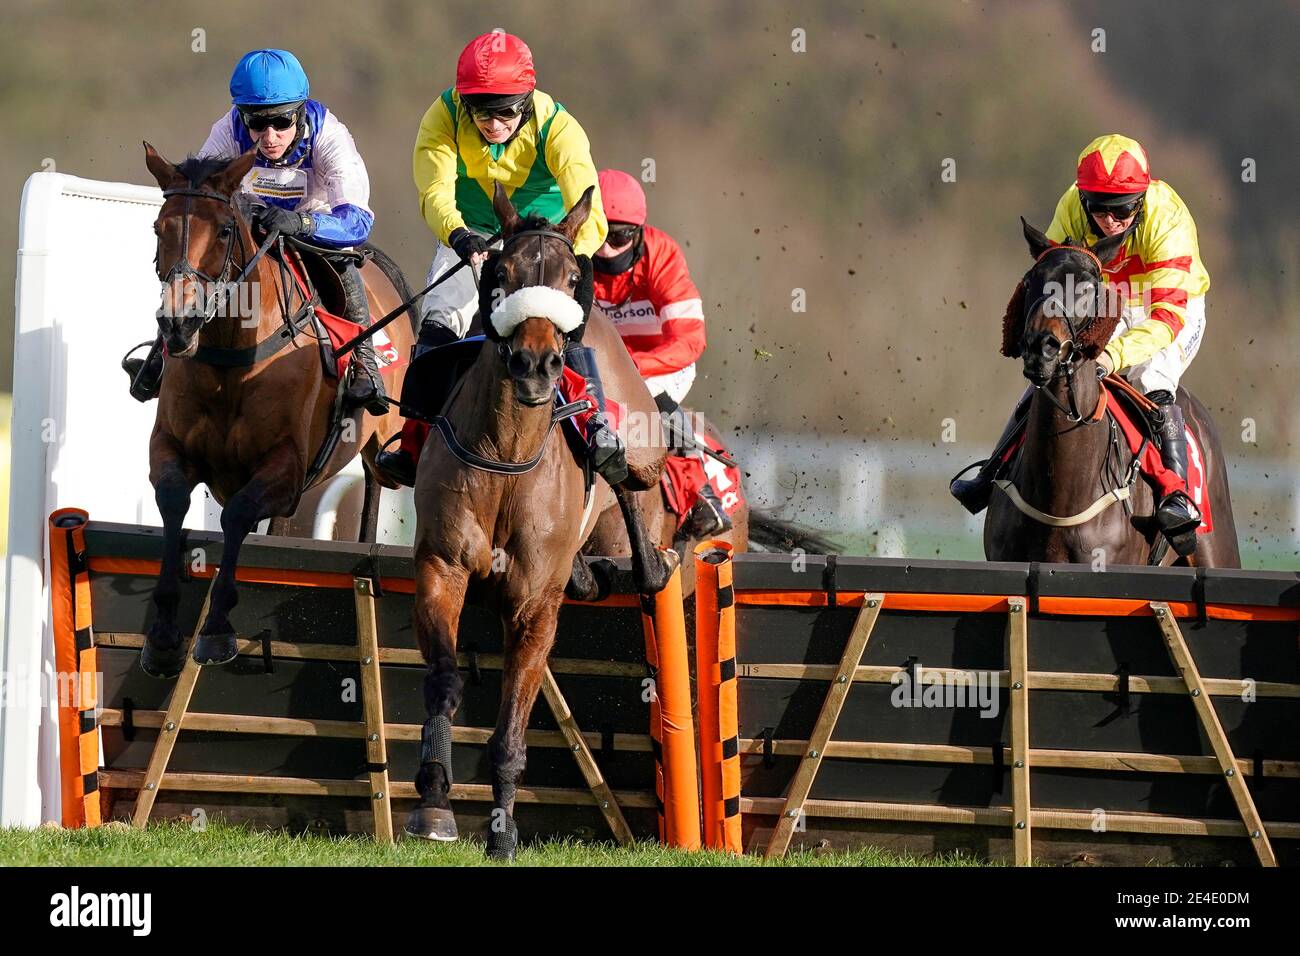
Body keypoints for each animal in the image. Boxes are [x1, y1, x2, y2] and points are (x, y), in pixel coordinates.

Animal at [137, 143, 413, 681]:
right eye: (158, 227)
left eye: (225, 230)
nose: (178, 324)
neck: (232, 359)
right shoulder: (170, 447)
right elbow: (174, 501)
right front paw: (161, 634)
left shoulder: (285, 470)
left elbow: (239, 514)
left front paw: (216, 628)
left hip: (377, 444)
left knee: (375, 484)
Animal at [405, 180, 676, 858]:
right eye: (500, 272)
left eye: (570, 278)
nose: (535, 364)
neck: (506, 455)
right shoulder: (441, 567)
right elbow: (444, 679)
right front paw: (434, 803)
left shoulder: (534, 607)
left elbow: (510, 727)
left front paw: (502, 832)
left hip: (643, 452)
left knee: (634, 499)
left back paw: (644, 558)